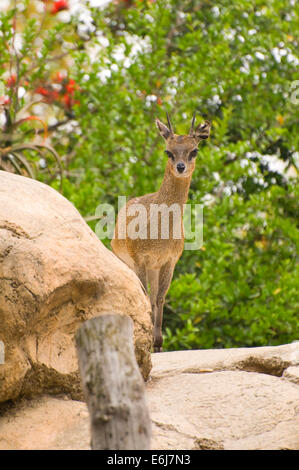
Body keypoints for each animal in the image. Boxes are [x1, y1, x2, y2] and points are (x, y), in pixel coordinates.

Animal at [111, 113, 212, 348]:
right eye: (168, 151)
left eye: (194, 150)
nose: (181, 167)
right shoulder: (140, 259)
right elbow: (146, 297)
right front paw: (148, 340)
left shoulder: (169, 261)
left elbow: (159, 298)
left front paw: (158, 342)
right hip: (129, 263)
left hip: (154, 269)